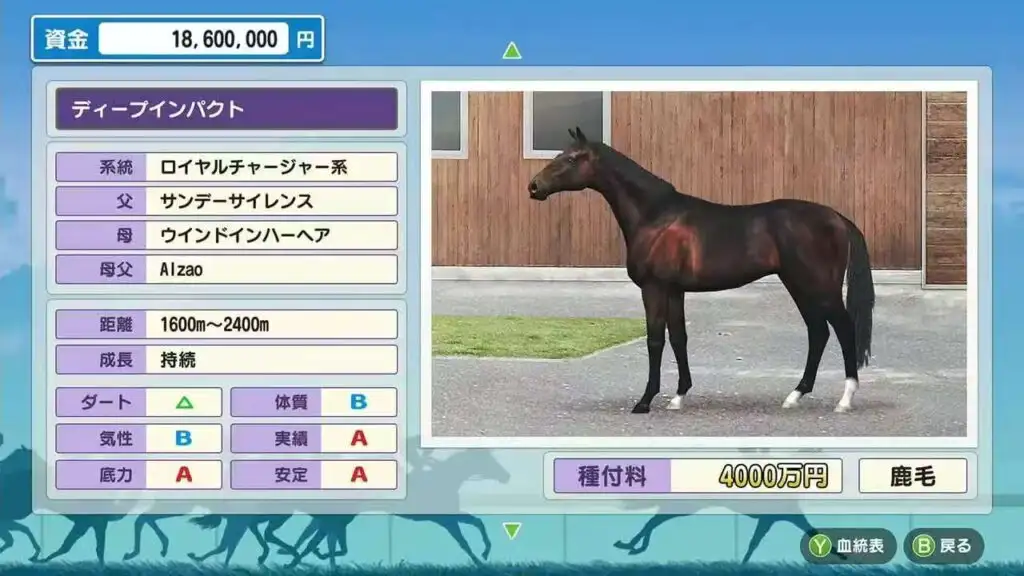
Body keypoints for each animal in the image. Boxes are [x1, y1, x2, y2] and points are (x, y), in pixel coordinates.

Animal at [527, 127, 875, 415]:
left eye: (571, 158)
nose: (534, 186)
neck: (655, 216)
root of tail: (837, 218)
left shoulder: (654, 288)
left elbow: (656, 340)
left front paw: (645, 401)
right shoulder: (674, 290)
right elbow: (679, 338)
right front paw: (678, 396)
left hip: (819, 286)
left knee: (843, 329)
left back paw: (844, 400)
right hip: (798, 284)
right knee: (818, 332)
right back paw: (795, 395)